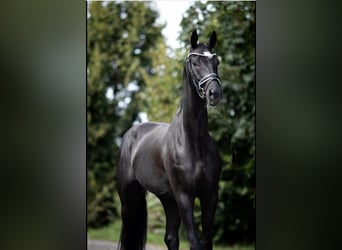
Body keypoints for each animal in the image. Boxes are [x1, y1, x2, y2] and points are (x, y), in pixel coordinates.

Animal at [117, 29, 223, 250]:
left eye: (216, 61)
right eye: (195, 62)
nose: (215, 93)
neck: (193, 142)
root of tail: (131, 133)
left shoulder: (210, 195)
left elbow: (206, 241)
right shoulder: (184, 196)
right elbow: (195, 243)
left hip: (168, 200)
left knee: (171, 238)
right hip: (128, 199)